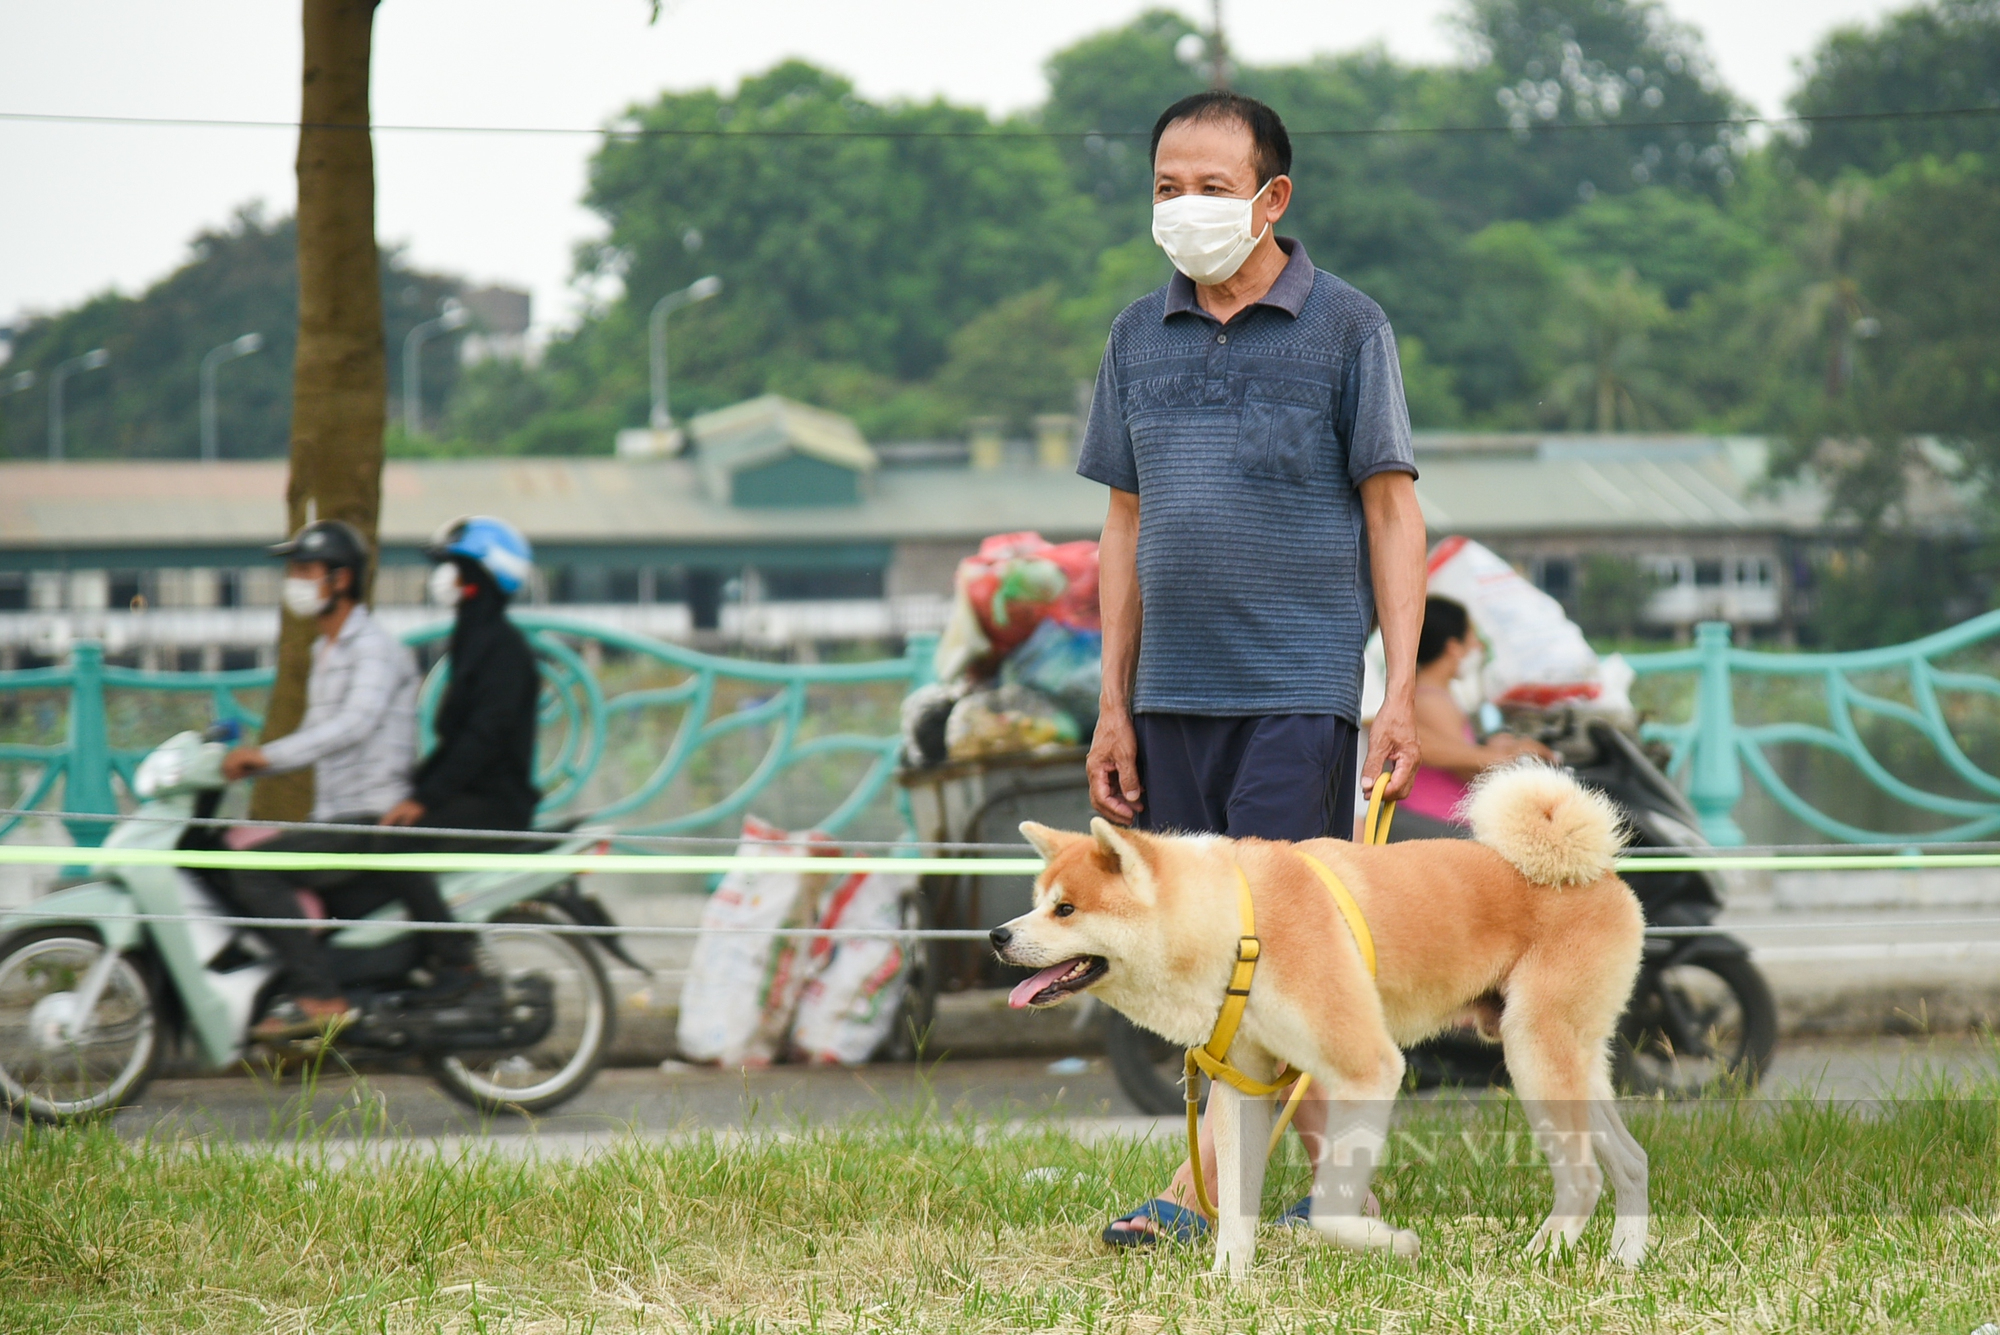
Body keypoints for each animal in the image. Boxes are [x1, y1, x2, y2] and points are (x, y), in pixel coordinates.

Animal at [992, 759, 1648, 1271]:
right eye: (1037, 903)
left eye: (1066, 909)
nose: (997, 935)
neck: (1242, 925)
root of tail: (1592, 870)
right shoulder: (1244, 1084)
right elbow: (1235, 1206)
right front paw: (1226, 1284)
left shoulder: (1369, 1068)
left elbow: (1332, 1211)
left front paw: (1392, 1243)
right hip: (1569, 1064)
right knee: (1631, 1162)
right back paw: (1624, 1261)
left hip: (1534, 1054)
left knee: (1584, 1179)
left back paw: (1542, 1256)